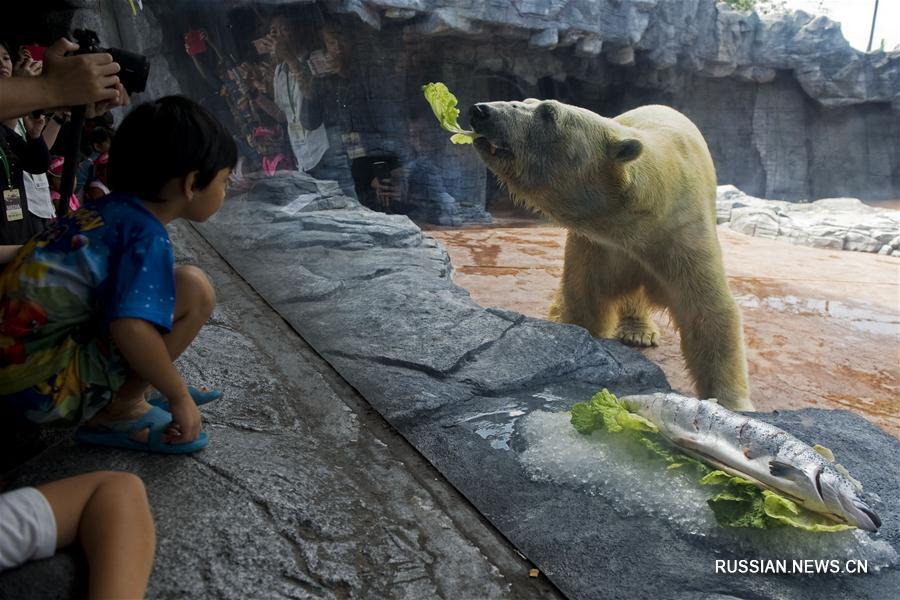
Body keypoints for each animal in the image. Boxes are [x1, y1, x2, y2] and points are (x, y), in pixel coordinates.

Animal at [472, 101, 752, 410]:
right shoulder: (599, 245)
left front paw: (732, 403)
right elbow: (587, 300)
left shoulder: (680, 233)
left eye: (548, 113)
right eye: (527, 101)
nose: (481, 111)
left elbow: (707, 310)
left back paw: (639, 332)